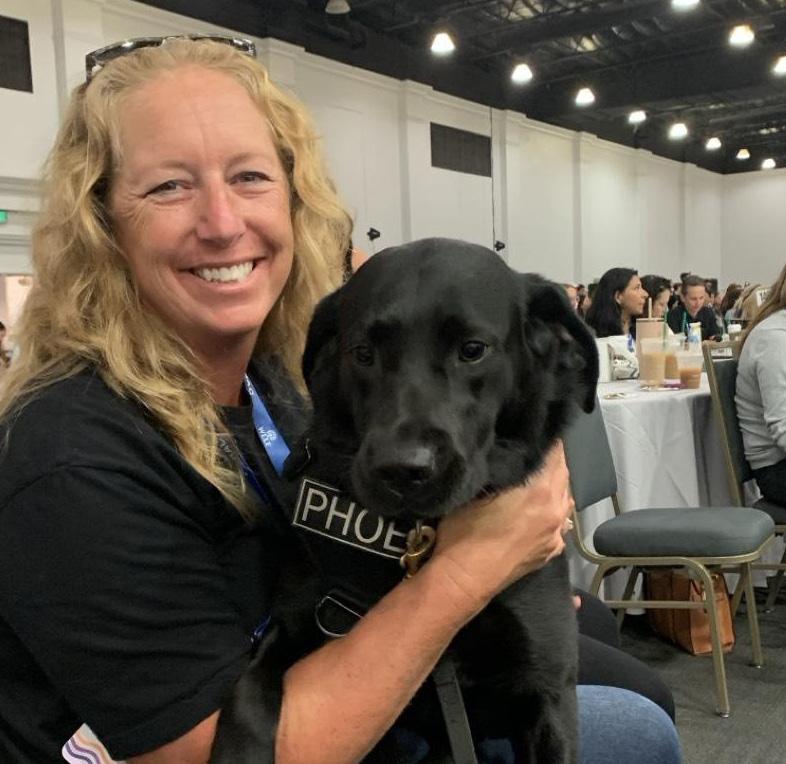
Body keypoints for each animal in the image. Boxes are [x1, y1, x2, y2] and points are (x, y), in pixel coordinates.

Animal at [212, 238, 598, 763]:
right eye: (362, 353)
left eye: (472, 350)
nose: (402, 470)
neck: (416, 539)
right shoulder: (293, 628)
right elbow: (247, 696)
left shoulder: (549, 693)